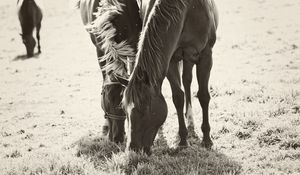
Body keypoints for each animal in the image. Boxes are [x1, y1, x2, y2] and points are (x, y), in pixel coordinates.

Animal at [123, 0, 219, 154]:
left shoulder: (206, 55)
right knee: (186, 81)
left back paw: (190, 119)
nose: (133, 149)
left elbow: (204, 96)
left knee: (187, 81)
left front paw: (207, 140)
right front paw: (183, 140)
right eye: (125, 110)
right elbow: (178, 97)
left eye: (144, 110)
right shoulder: (171, 59)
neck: (187, 9)